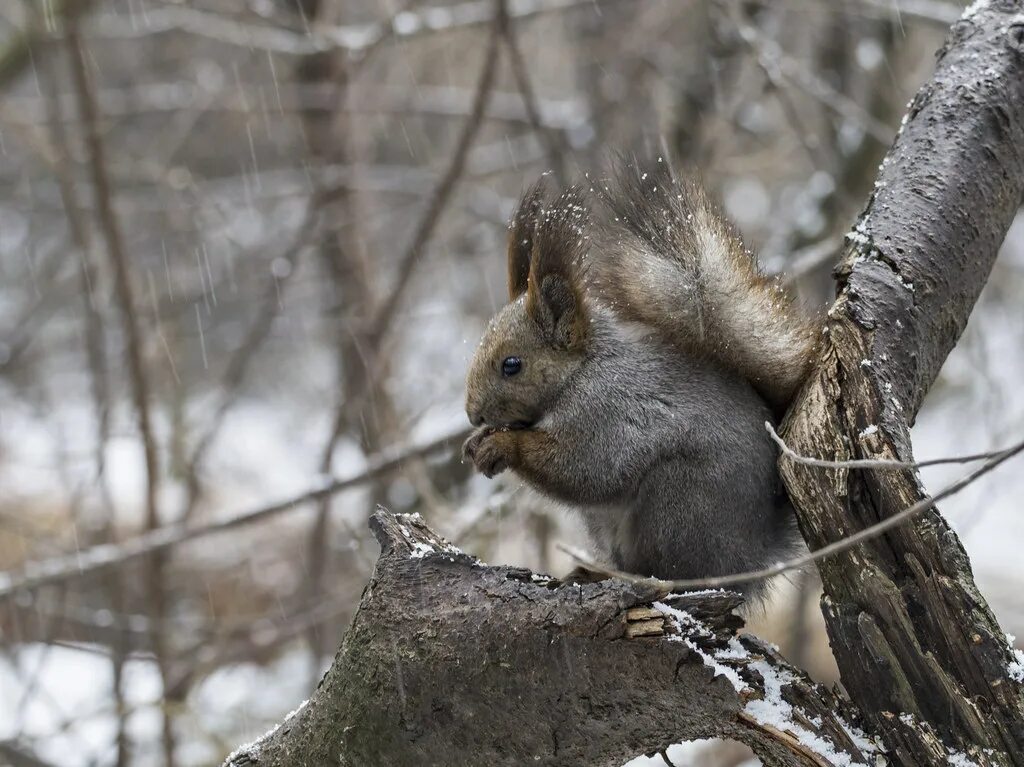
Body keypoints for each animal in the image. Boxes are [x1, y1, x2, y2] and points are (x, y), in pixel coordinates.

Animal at [464, 156, 815, 598]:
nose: (472, 414)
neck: (582, 371)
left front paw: (501, 446)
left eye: (512, 364)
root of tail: (755, 553)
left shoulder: (609, 411)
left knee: (676, 572)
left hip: (679, 504)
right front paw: (477, 441)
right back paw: (596, 573)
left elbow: (584, 467)